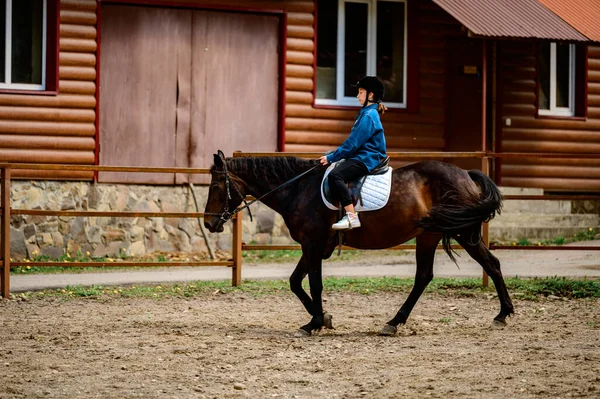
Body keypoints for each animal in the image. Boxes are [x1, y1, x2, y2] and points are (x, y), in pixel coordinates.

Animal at [204, 152, 512, 336]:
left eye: (215, 186)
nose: (208, 223)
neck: (299, 189)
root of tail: (466, 175)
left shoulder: (312, 244)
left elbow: (314, 283)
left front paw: (315, 323)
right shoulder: (313, 245)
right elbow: (295, 282)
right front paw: (324, 318)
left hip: (460, 232)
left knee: (483, 266)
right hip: (431, 235)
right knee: (446, 272)